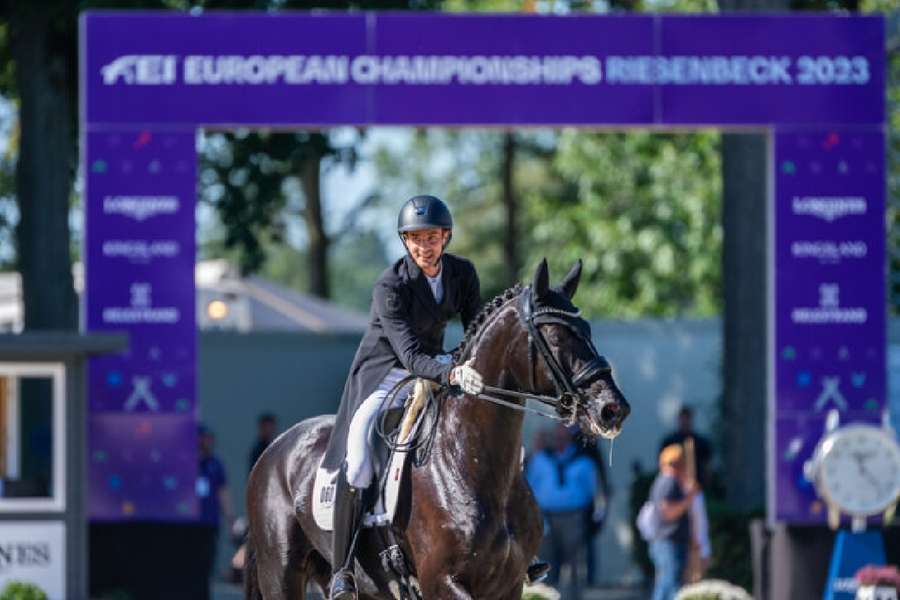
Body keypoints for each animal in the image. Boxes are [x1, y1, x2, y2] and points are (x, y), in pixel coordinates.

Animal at [243, 258, 628, 600]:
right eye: (555, 337)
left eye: (589, 331)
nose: (613, 409)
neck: (470, 461)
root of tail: (275, 447)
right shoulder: (442, 582)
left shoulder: (508, 585)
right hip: (281, 573)